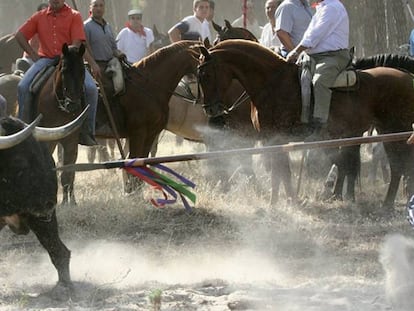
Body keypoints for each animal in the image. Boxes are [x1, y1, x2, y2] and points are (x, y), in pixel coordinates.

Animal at [196, 40, 414, 208]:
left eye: (207, 74)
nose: (210, 109)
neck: (272, 83)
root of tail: (407, 77)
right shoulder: (274, 140)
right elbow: (282, 171)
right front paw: (288, 200)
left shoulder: (276, 137)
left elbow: (280, 171)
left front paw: (277, 202)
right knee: (396, 166)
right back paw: (387, 203)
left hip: (395, 129)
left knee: (398, 165)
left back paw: (388, 203)